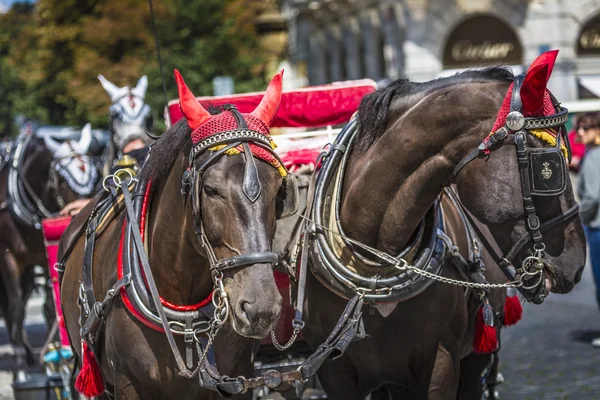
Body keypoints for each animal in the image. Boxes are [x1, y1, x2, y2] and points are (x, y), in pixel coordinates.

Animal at [0, 130, 98, 376]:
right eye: (63, 180)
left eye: (93, 176)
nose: (83, 211)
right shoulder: (9, 260)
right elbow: (17, 310)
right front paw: (19, 366)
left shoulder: (42, 260)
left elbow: (49, 309)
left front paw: (55, 356)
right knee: (12, 309)